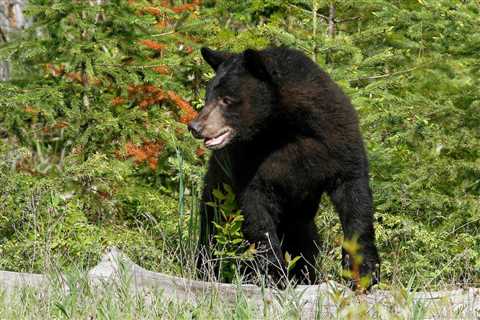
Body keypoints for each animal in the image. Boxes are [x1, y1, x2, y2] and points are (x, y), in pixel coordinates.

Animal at [189, 46, 380, 288]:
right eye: (208, 97)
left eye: (226, 99)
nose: (195, 126)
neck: (284, 128)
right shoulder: (247, 160)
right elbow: (256, 208)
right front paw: (274, 274)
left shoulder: (337, 139)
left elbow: (354, 195)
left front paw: (364, 271)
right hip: (217, 197)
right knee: (212, 238)